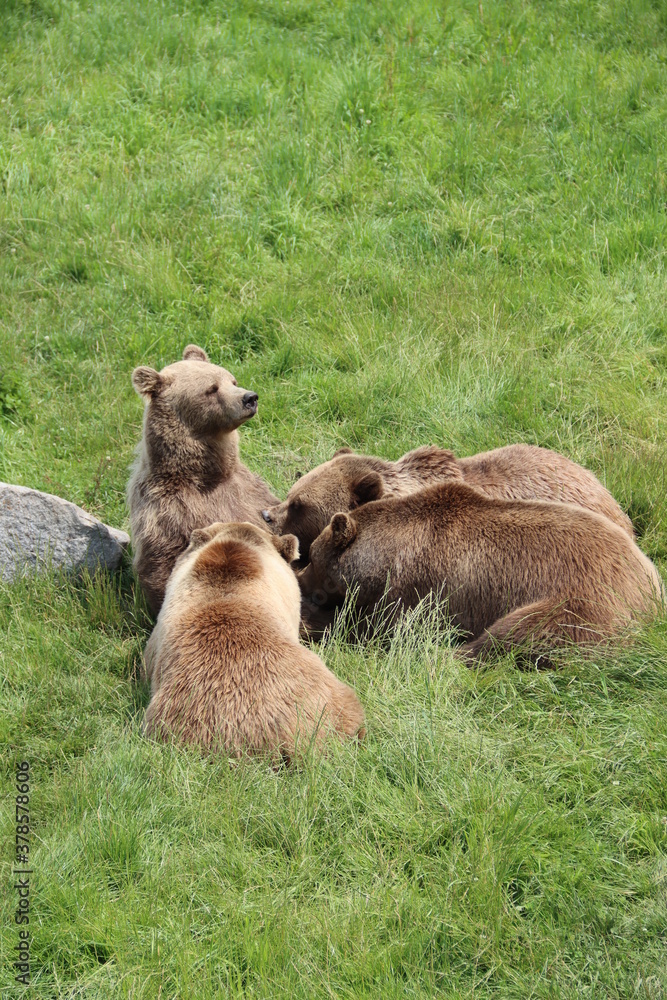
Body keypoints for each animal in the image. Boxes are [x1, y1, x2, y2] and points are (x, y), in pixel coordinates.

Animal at [296, 482, 662, 662]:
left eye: (313, 557)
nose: (299, 578)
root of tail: (652, 585)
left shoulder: (418, 589)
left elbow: (379, 629)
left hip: (583, 601)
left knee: (519, 631)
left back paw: (448, 653)